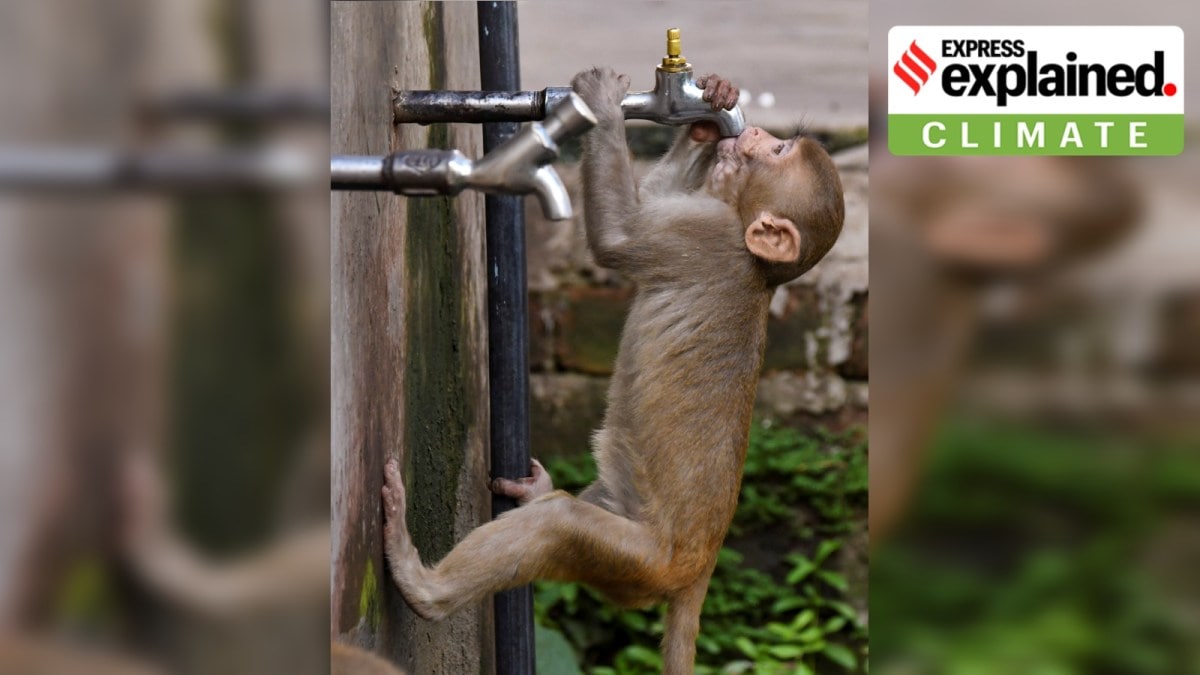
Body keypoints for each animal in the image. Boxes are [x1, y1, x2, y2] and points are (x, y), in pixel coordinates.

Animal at [382, 67, 844, 674]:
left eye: (779, 152)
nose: (754, 134)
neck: (761, 269)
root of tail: (700, 566)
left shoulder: (705, 236)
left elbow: (621, 236)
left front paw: (600, 102)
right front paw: (707, 112)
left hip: (637, 560)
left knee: (559, 525)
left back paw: (421, 584)